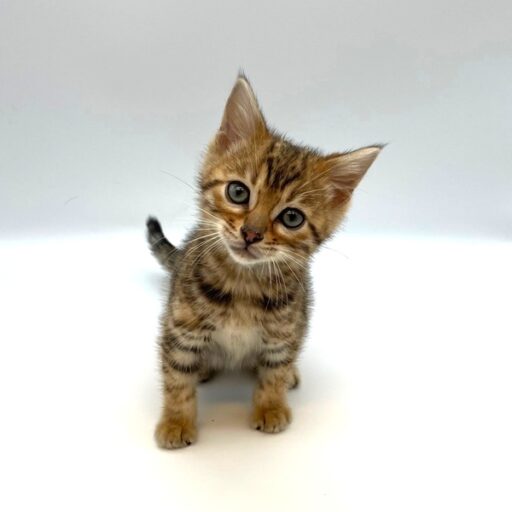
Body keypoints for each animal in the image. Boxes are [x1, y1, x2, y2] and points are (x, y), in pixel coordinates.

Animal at [146, 74, 382, 448]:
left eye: (291, 218)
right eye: (238, 192)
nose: (251, 233)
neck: (243, 283)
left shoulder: (283, 332)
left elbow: (275, 369)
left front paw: (271, 406)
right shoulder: (181, 328)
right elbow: (177, 377)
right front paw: (176, 421)